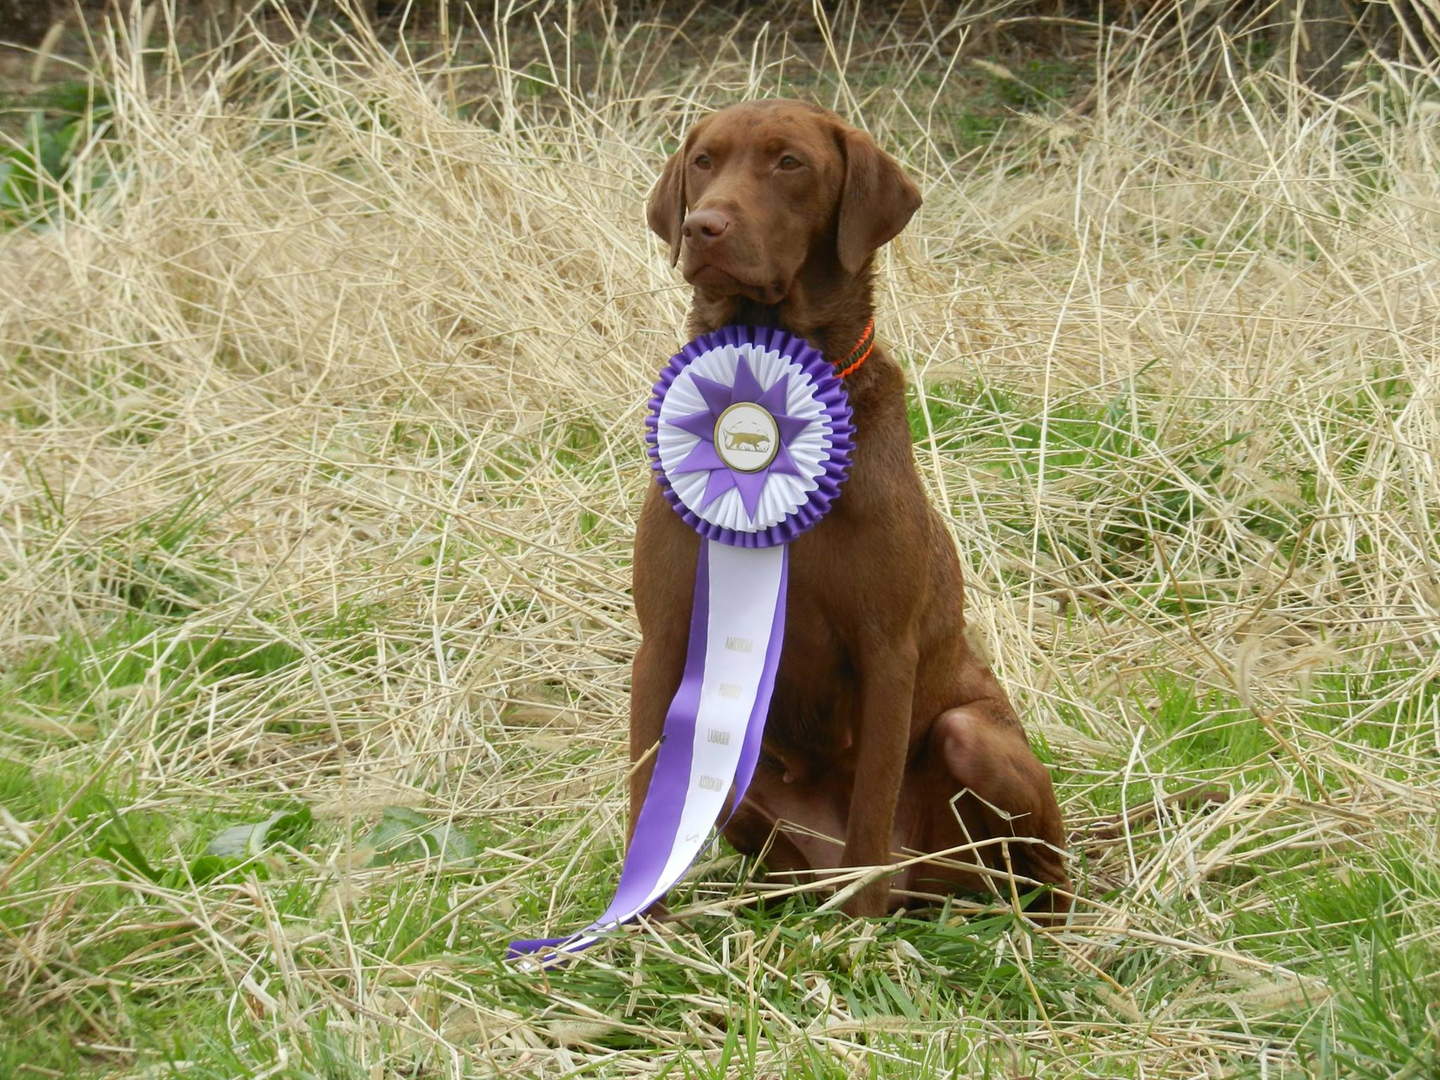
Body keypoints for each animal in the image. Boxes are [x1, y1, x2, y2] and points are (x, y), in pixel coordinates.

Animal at [630, 101, 1071, 915]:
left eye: (789, 163)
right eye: (704, 161)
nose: (705, 227)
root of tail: (926, 885)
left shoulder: (886, 649)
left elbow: (871, 801)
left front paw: (857, 930)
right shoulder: (665, 637)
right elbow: (645, 790)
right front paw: (635, 924)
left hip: (974, 737)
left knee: (1042, 869)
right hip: (738, 778)